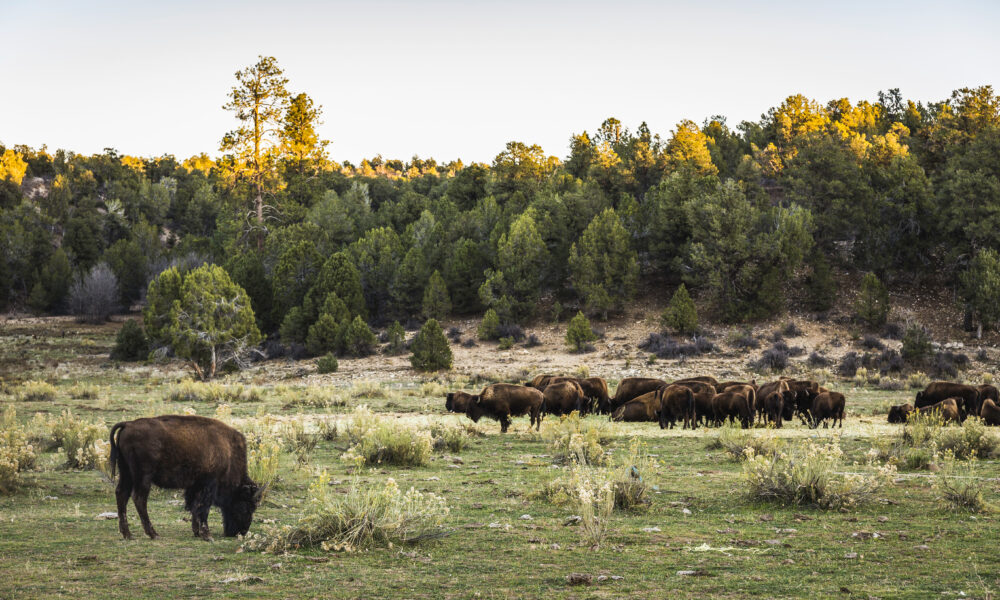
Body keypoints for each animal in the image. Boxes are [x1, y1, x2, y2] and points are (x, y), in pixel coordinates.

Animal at [109, 415, 263, 541]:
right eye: (246, 506)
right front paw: (207, 535)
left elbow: (194, 506)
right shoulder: (209, 484)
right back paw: (153, 534)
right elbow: (203, 508)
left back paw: (127, 534)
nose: (241, 532)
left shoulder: (195, 485)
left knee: (121, 494)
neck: (228, 451)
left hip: (126, 472)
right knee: (139, 499)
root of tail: (128, 424)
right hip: (143, 476)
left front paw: (197, 532)